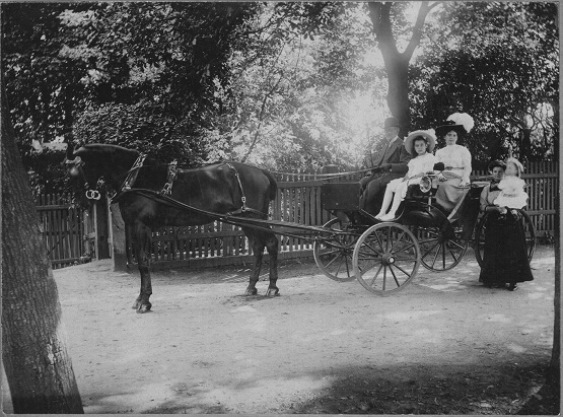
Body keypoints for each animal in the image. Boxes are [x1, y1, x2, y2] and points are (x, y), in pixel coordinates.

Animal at [65, 143, 280, 312]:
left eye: (76, 170)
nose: (80, 205)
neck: (136, 178)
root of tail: (262, 172)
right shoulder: (136, 227)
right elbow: (143, 261)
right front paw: (140, 298)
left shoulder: (141, 226)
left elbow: (143, 262)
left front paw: (144, 301)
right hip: (246, 221)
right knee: (258, 247)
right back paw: (251, 286)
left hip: (255, 218)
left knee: (271, 243)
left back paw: (272, 287)